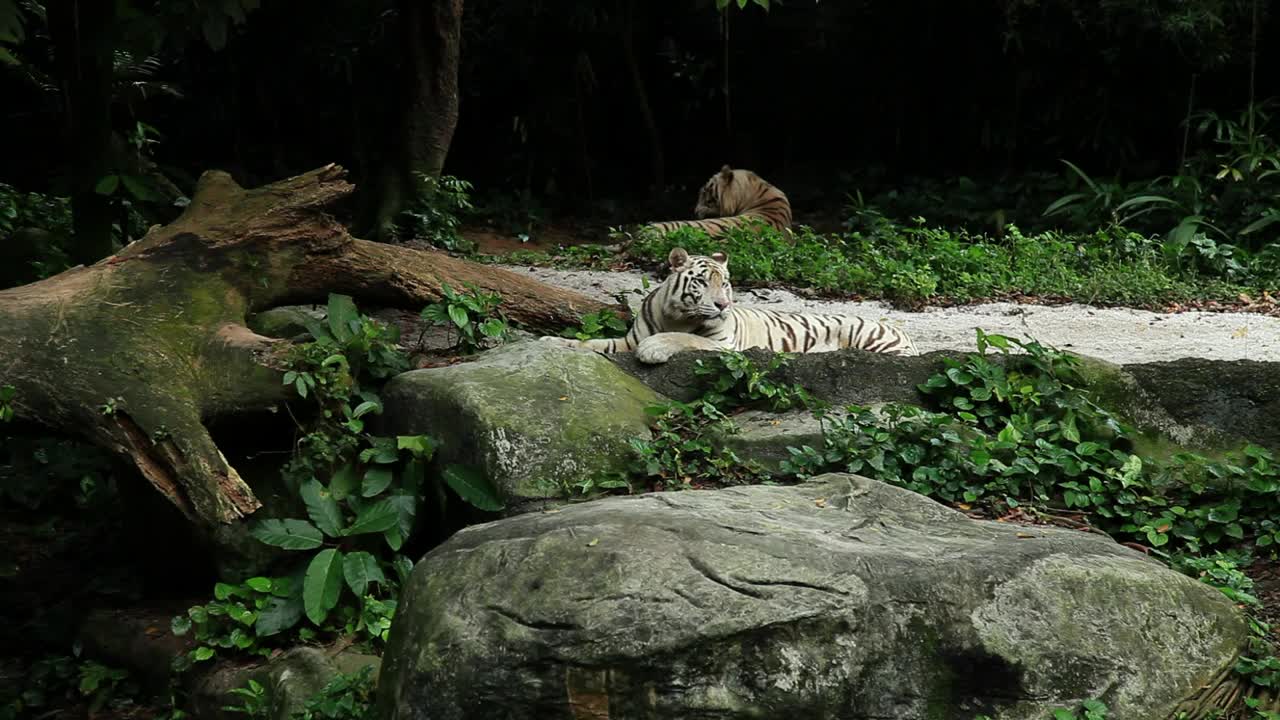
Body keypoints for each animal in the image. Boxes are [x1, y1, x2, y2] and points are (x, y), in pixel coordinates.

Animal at [540, 247, 917, 364]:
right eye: (702, 282)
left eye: (726, 283)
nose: (722, 305)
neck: (674, 314)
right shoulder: (625, 340)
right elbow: (593, 343)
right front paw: (551, 343)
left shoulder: (725, 346)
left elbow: (685, 338)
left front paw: (654, 349)